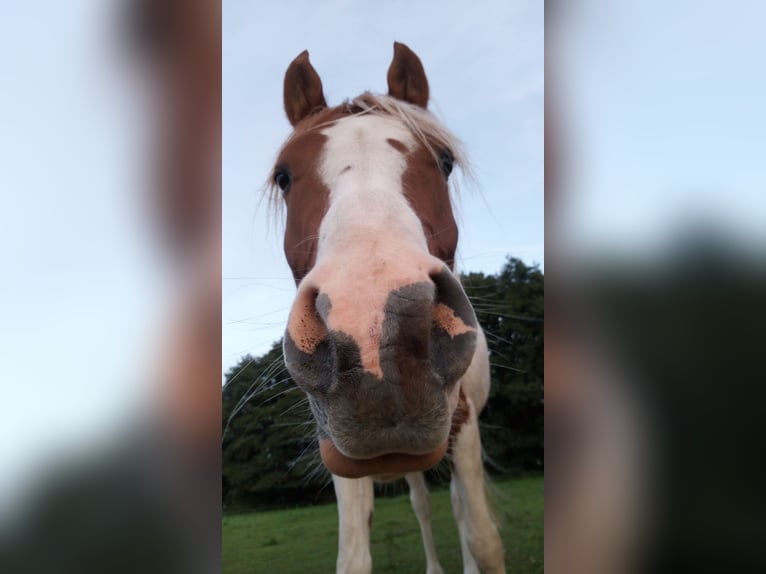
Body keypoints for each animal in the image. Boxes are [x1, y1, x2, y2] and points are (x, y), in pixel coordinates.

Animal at [272, 41, 508, 574]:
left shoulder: (464, 425)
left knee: (459, 509)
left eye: (444, 161)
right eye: (283, 177)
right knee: (422, 503)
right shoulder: (340, 453)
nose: (380, 331)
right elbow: (354, 556)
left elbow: (485, 541)